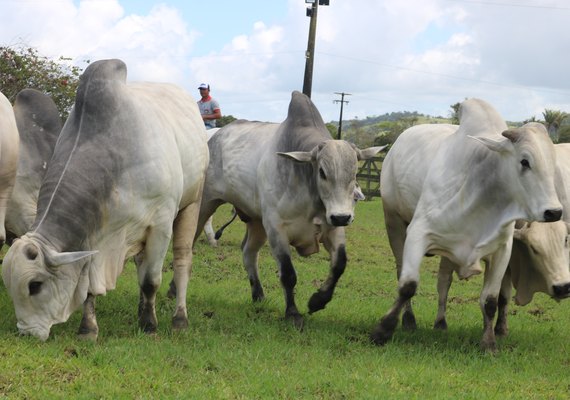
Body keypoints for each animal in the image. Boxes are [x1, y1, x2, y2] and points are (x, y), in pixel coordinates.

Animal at [374, 98, 560, 352]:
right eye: (525, 161)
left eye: (552, 162)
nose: (554, 211)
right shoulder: (418, 233)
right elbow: (408, 285)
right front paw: (383, 330)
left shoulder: (502, 251)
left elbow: (490, 300)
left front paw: (489, 343)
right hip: (393, 222)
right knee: (401, 272)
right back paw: (409, 320)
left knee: (444, 282)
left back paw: (441, 323)